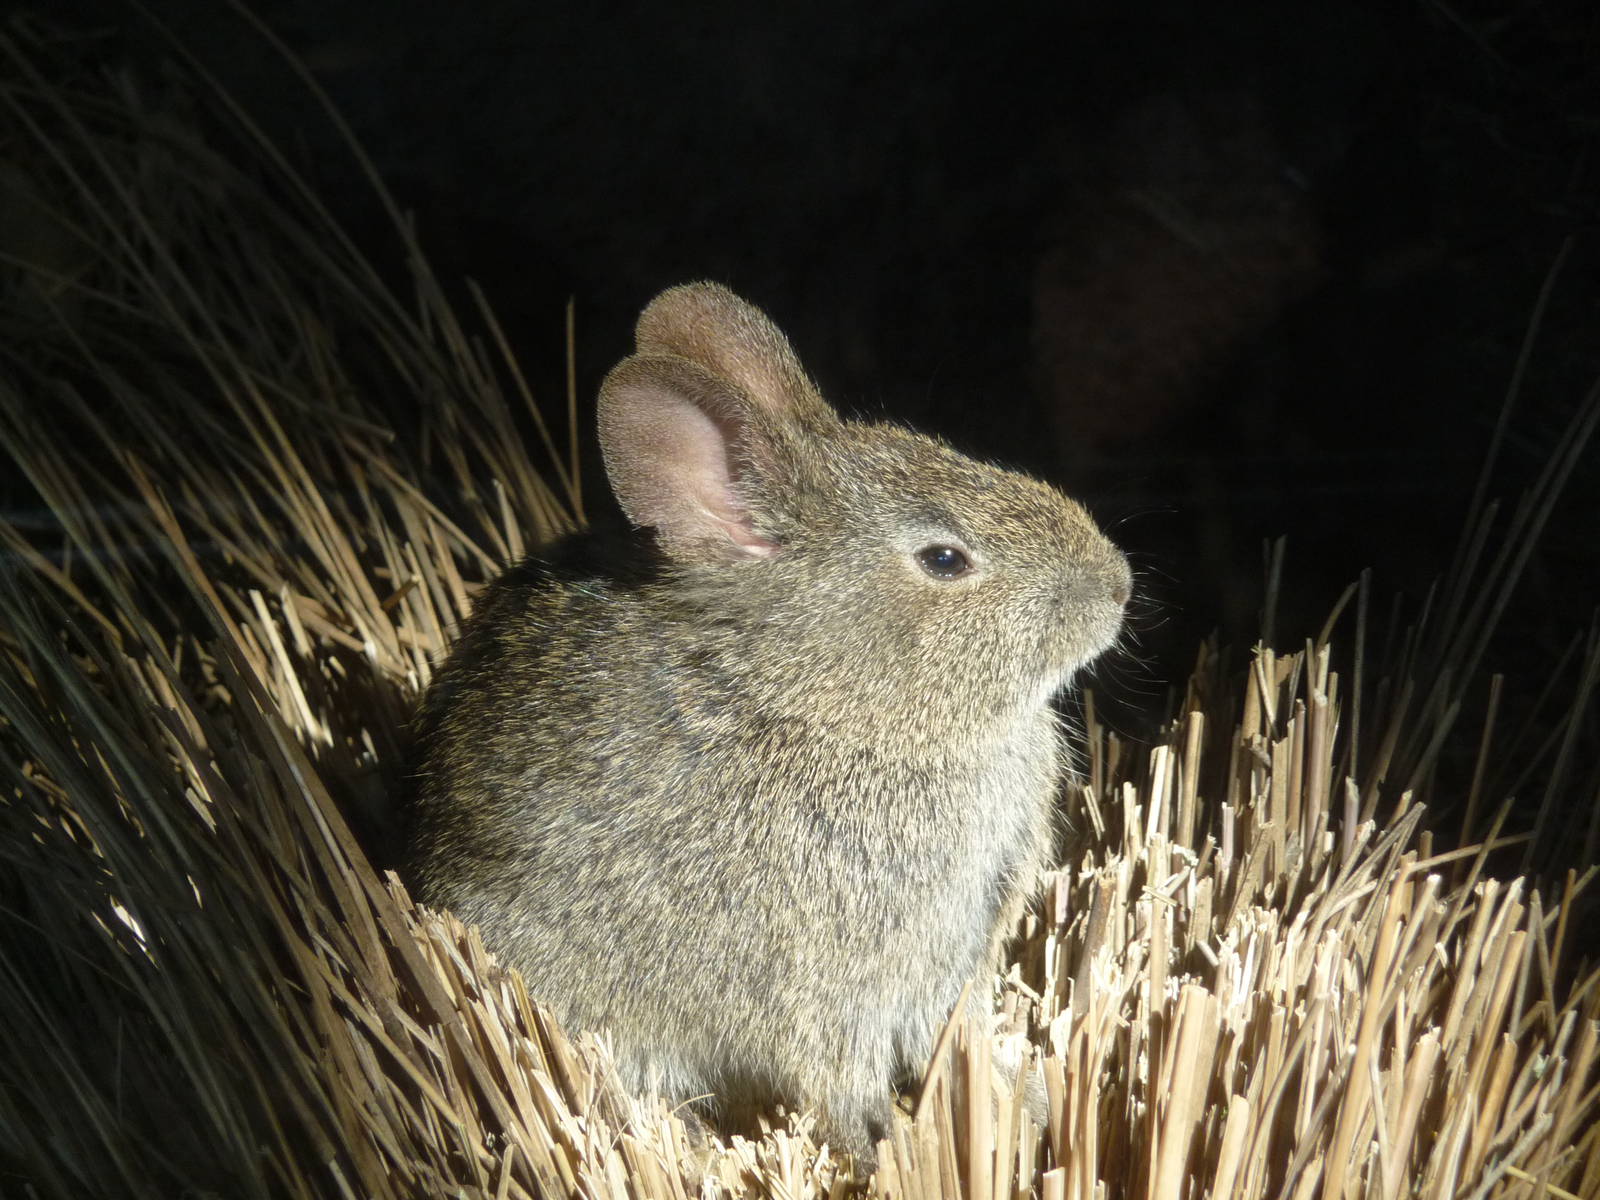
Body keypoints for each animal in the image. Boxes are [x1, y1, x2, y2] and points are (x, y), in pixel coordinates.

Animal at [407, 281, 1130, 1168]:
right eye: (944, 560)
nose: (1119, 585)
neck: (822, 708)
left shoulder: (941, 972)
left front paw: (1022, 1102)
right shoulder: (825, 989)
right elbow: (841, 1084)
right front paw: (882, 1152)